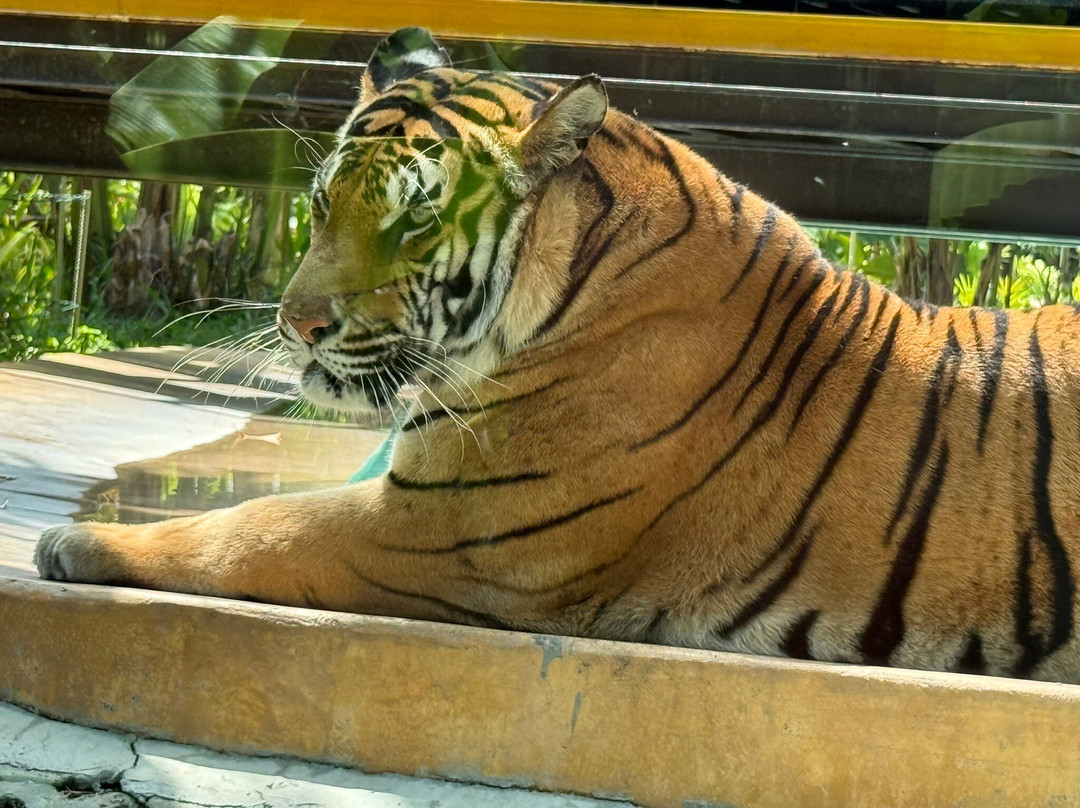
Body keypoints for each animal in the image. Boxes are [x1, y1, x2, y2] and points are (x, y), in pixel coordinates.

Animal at [35, 26, 1080, 684]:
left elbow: (253, 525)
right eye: (325, 202)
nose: (299, 325)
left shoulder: (438, 530)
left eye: (414, 220)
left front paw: (80, 543)